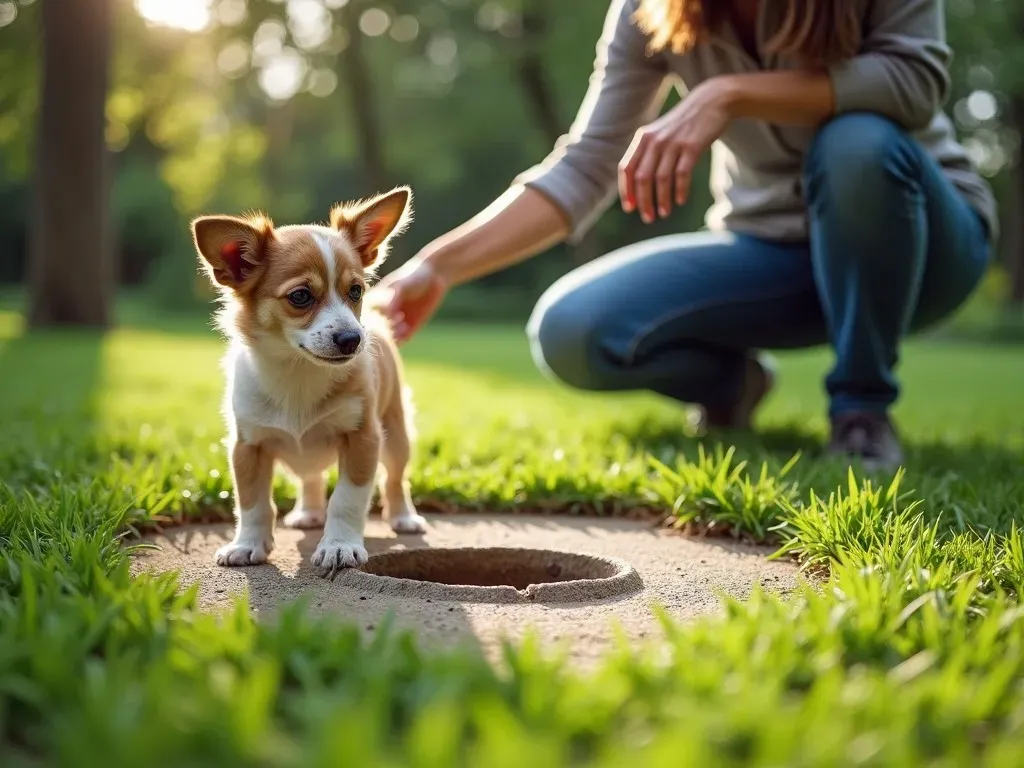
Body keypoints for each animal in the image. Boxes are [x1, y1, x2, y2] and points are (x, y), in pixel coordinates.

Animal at [191, 185, 423, 573]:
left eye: (356, 291)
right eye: (300, 296)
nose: (353, 339)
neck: (299, 372)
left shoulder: (364, 439)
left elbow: (347, 499)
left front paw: (340, 547)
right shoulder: (247, 445)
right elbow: (252, 502)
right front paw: (247, 544)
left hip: (395, 436)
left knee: (395, 479)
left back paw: (404, 517)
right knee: (312, 478)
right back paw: (309, 513)